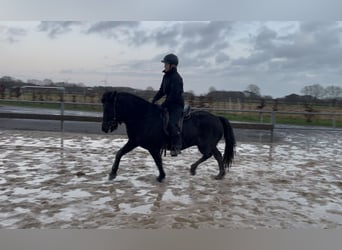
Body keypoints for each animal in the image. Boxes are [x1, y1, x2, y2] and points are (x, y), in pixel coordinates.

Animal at [101, 91, 235, 182]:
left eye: (108, 108)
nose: (104, 128)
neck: (144, 116)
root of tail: (217, 118)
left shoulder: (149, 146)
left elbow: (157, 161)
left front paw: (161, 176)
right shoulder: (135, 142)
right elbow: (120, 153)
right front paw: (112, 173)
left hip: (205, 144)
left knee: (211, 155)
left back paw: (208, 171)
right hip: (208, 144)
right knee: (216, 155)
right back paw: (212, 172)